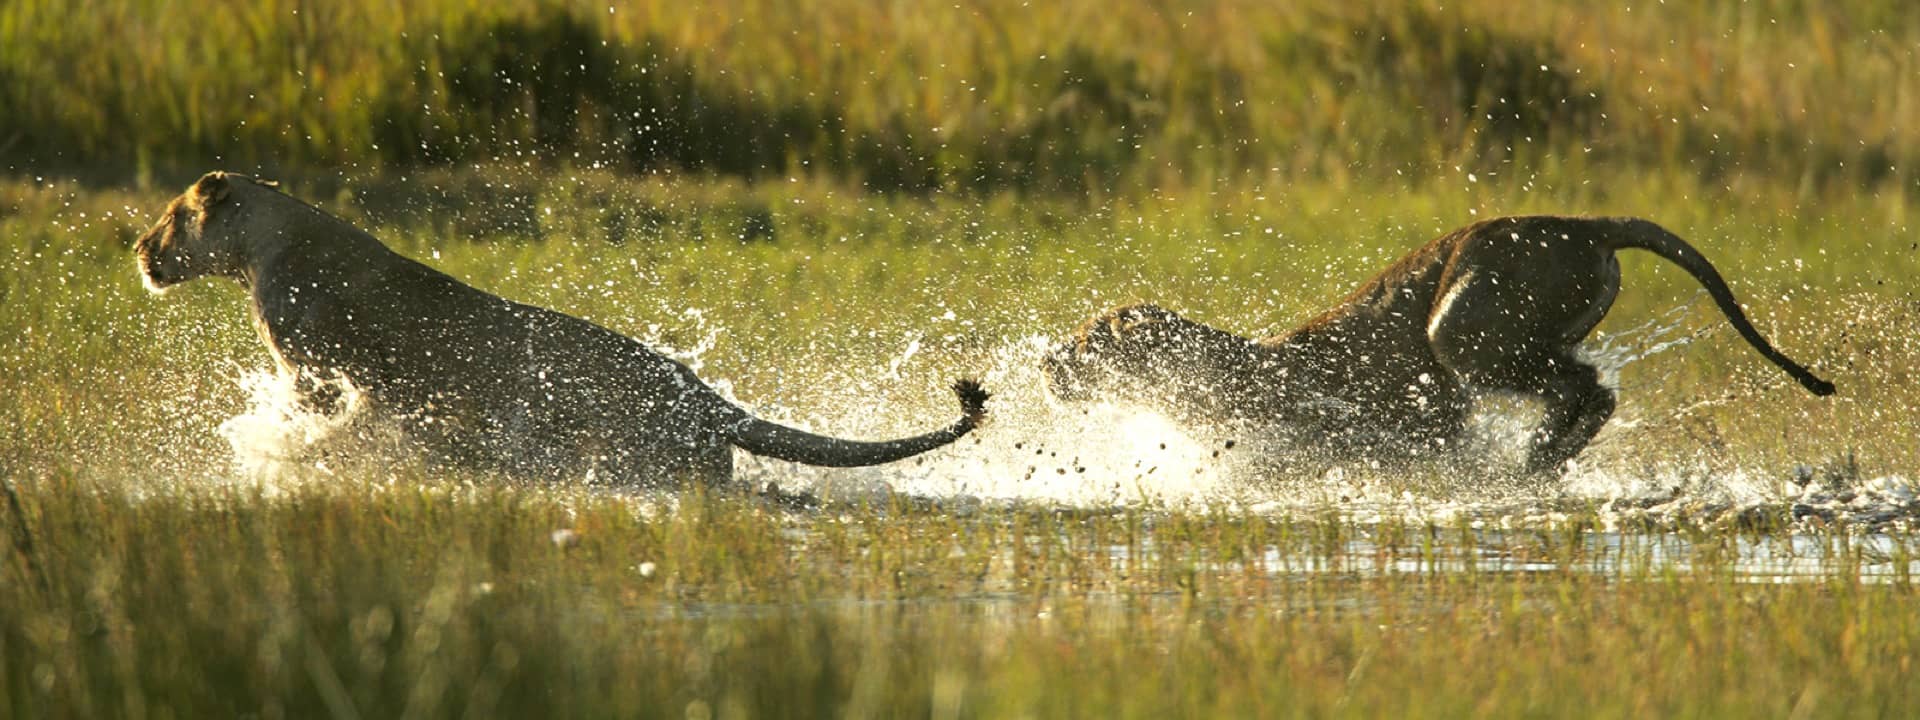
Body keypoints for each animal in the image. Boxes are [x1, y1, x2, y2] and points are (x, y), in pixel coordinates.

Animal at [136, 171, 989, 487]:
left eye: (172, 216)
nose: (139, 249)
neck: (262, 246)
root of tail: (708, 398)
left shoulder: (314, 371)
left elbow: (312, 420)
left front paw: (279, 452)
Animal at [1044, 215, 1835, 475]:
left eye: (1086, 343)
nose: (1048, 362)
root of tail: (1584, 223)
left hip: (1461, 325)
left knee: (1588, 389)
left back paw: (1535, 460)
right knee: (1586, 386)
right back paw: (1542, 460)